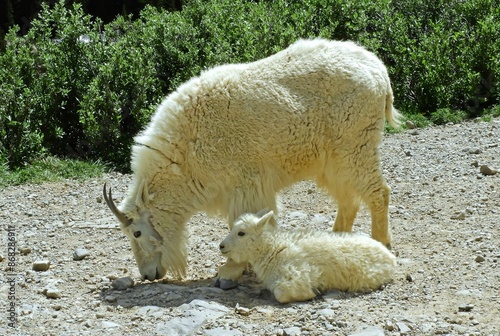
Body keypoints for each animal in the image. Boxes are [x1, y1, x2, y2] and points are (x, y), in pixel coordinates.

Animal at [103, 38, 400, 288]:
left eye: (136, 233)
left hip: (355, 143)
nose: (147, 274)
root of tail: (381, 74)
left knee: (378, 192)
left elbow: (244, 223)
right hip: (331, 159)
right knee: (348, 199)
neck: (184, 154)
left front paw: (228, 271)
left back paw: (382, 241)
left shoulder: (245, 181)